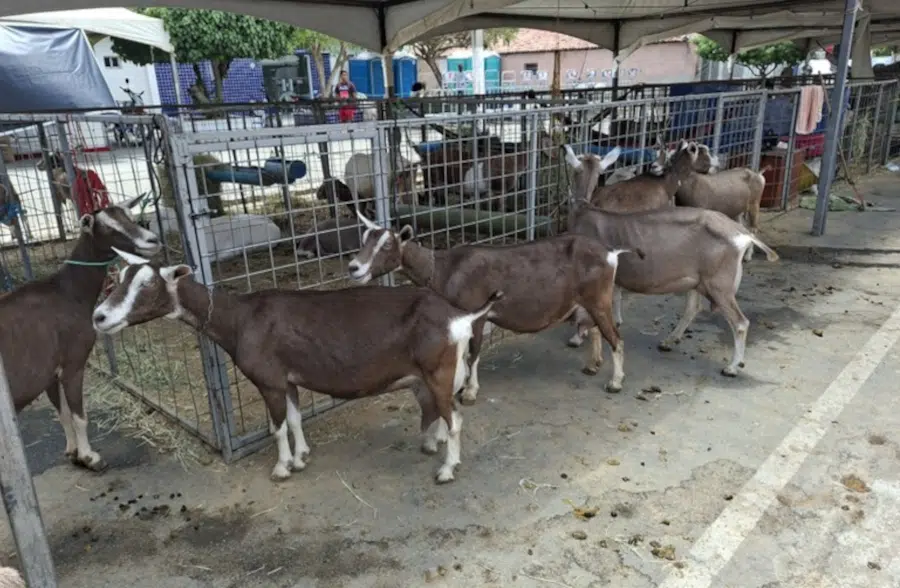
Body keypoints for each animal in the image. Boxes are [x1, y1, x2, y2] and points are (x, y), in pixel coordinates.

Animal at [0, 195, 161, 471]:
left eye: (129, 216)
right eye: (108, 227)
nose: (152, 241)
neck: (68, 292)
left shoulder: (49, 373)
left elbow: (63, 414)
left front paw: (73, 451)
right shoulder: (74, 362)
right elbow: (79, 415)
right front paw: (90, 457)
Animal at [92, 251, 503, 484]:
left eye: (147, 285)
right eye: (117, 279)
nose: (99, 316)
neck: (240, 319)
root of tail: (460, 317)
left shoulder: (268, 379)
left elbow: (276, 427)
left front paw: (282, 468)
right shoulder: (287, 379)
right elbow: (293, 418)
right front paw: (302, 456)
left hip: (438, 370)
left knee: (456, 418)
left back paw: (447, 470)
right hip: (436, 374)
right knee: (441, 409)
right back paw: (433, 444)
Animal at [347, 199, 636, 397]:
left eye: (387, 245)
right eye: (364, 239)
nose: (354, 268)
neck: (444, 269)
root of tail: (611, 252)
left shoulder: (477, 313)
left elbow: (473, 353)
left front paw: (470, 391)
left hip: (599, 298)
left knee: (616, 337)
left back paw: (615, 382)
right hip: (588, 300)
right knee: (596, 329)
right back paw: (593, 366)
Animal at [564, 144, 779, 381]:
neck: (585, 212)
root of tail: (741, 233)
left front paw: (584, 351)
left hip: (719, 283)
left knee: (740, 322)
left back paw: (732, 367)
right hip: (699, 279)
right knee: (693, 308)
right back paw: (669, 341)